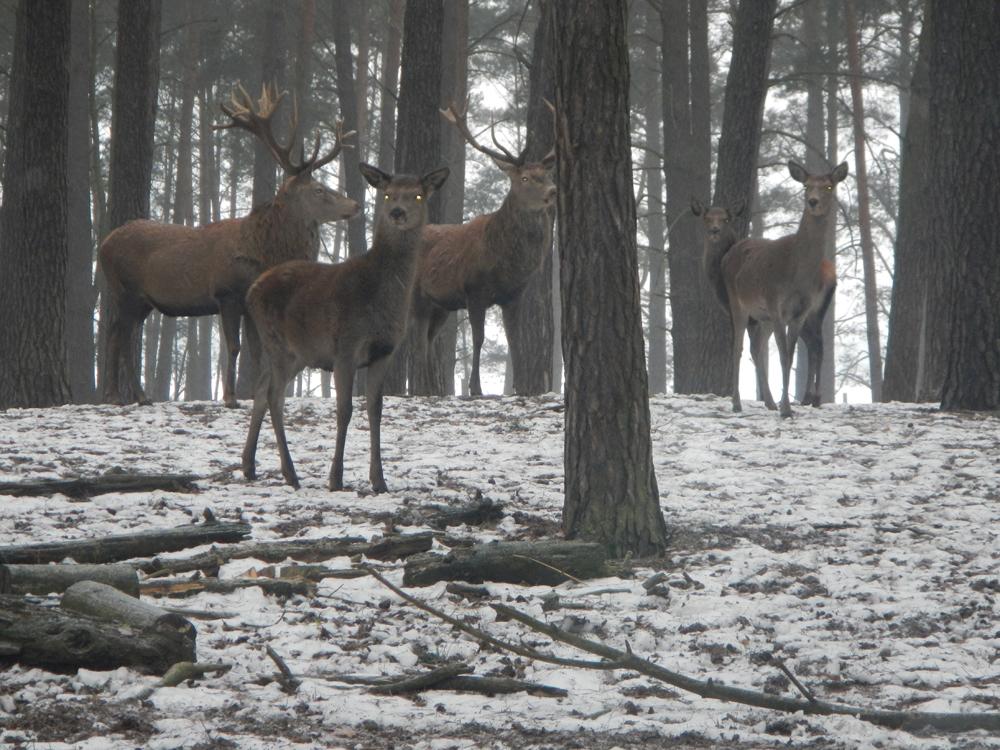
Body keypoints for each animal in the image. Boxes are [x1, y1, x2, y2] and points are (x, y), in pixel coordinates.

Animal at [99, 85, 358, 408]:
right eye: (319, 190)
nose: (355, 204)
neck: (263, 252)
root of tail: (102, 246)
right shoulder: (227, 293)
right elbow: (234, 347)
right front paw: (230, 397)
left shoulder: (249, 301)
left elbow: (257, 351)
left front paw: (256, 395)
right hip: (126, 290)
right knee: (121, 337)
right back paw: (133, 396)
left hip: (140, 300)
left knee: (118, 334)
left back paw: (121, 395)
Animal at [242, 164, 450, 494]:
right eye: (387, 194)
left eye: (418, 195)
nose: (397, 212)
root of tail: (251, 291)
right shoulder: (345, 347)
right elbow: (345, 410)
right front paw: (336, 478)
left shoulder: (384, 352)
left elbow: (376, 411)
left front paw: (379, 480)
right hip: (276, 340)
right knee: (275, 395)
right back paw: (290, 473)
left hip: (297, 352)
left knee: (262, 389)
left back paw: (249, 465)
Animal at [410, 108, 560, 400]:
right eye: (524, 178)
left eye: (546, 175)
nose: (552, 191)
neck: (505, 263)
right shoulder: (474, 291)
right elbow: (478, 338)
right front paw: (476, 388)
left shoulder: (514, 296)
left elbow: (514, 340)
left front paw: (521, 388)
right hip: (415, 295)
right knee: (412, 340)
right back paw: (416, 390)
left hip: (439, 305)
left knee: (428, 340)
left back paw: (432, 390)